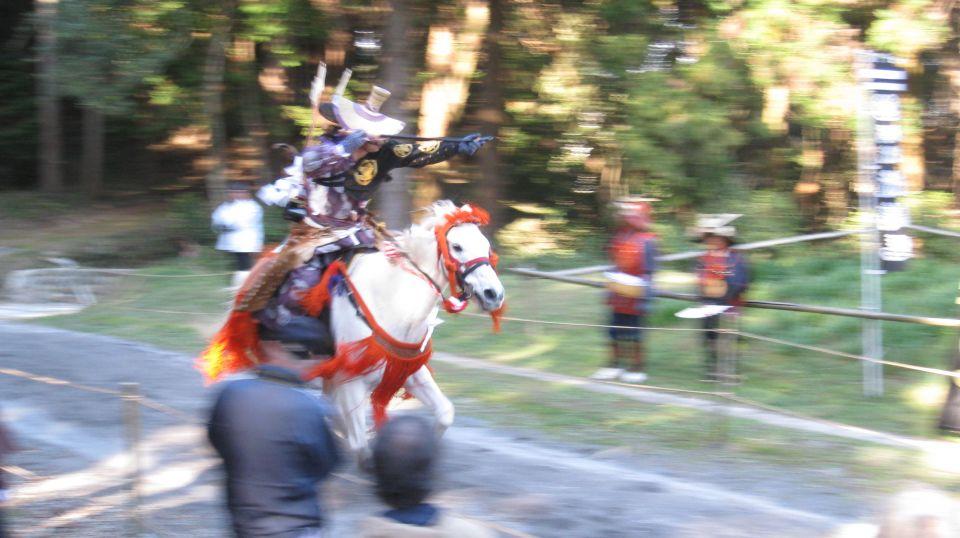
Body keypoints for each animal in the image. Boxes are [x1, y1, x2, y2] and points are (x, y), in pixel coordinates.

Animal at [316, 201, 510, 460]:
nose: (494, 294)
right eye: (457, 247)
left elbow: (445, 413)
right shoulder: (351, 378)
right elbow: (361, 450)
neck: (392, 300)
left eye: (486, 247)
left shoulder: (410, 370)